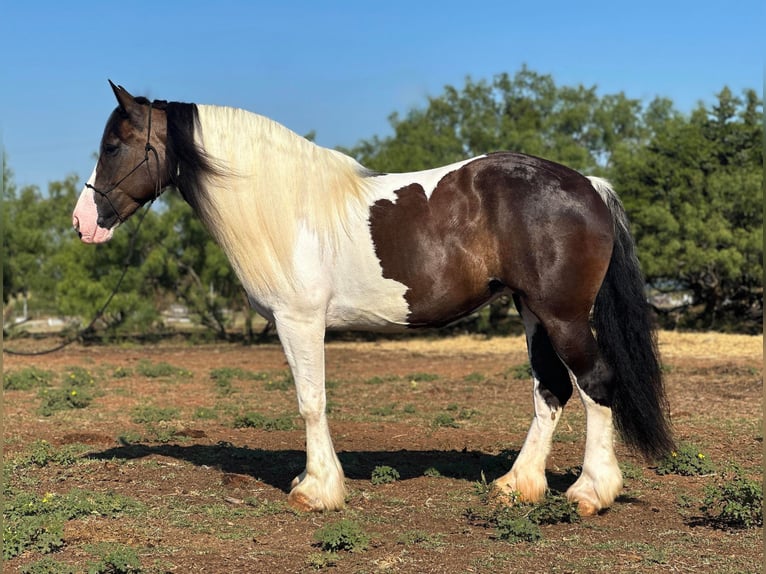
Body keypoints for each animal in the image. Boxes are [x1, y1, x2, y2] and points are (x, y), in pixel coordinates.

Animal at [70, 82, 672, 516]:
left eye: (113, 145)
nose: (82, 224)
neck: (287, 208)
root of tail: (590, 185)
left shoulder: (300, 321)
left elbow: (311, 402)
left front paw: (317, 490)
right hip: (533, 314)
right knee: (551, 390)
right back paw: (517, 485)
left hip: (562, 315)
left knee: (595, 384)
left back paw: (590, 492)